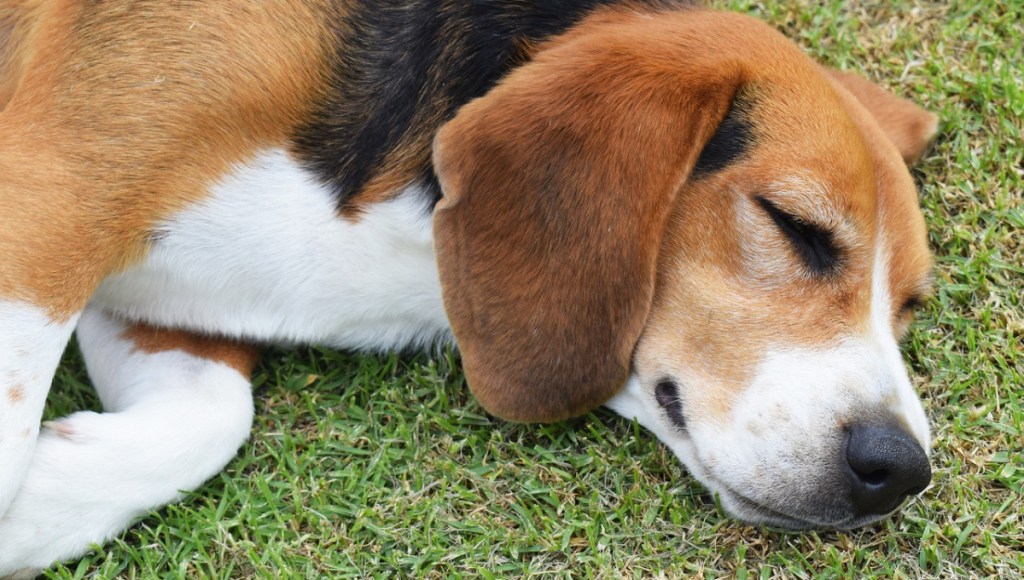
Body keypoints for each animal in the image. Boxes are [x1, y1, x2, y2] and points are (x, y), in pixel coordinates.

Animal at [0, 0, 937, 573]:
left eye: (906, 306)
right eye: (796, 227)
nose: (900, 469)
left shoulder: (163, 302)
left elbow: (212, 419)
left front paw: (39, 504)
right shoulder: (49, 204)